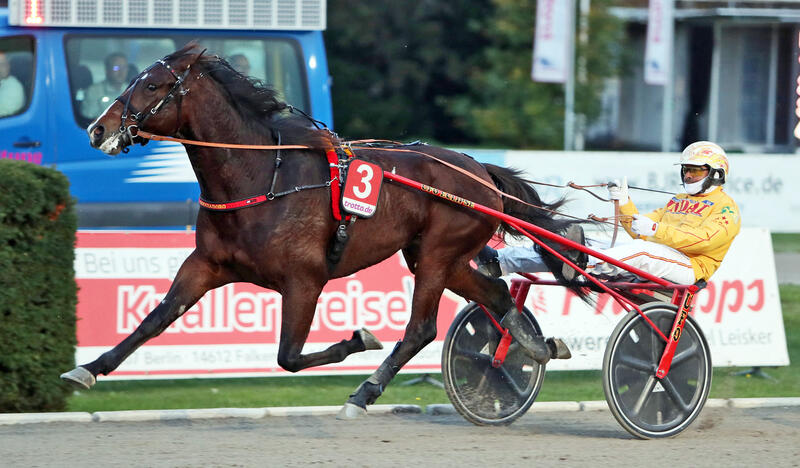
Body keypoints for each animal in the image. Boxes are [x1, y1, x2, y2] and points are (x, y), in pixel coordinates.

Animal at [61, 44, 583, 417]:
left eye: (152, 85)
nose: (97, 129)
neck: (260, 177)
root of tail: (479, 170)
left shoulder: (304, 280)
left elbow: (289, 357)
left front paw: (359, 339)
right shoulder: (206, 265)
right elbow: (155, 318)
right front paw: (87, 369)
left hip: (437, 255)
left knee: (420, 328)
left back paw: (365, 391)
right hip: (437, 256)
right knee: (495, 293)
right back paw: (535, 346)